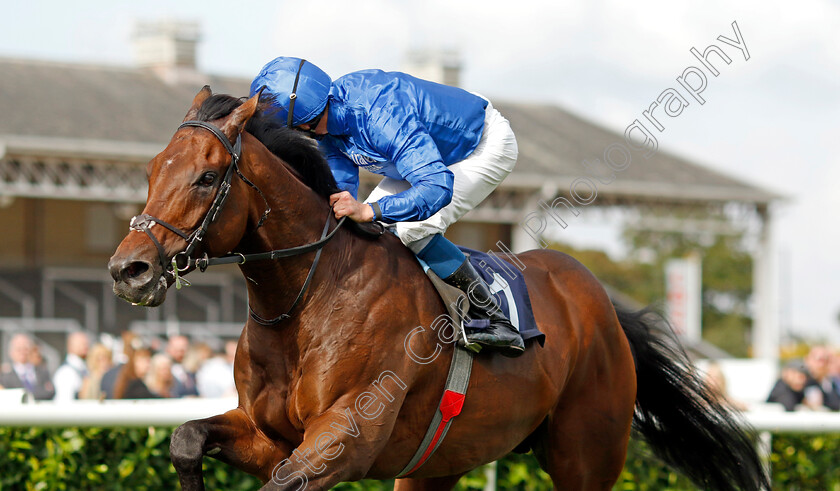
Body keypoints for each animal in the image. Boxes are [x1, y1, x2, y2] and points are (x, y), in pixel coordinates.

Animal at [110, 88, 768, 491]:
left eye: (206, 176)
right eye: (151, 170)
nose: (128, 269)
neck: (306, 300)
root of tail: (601, 303)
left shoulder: (345, 436)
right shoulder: (270, 435)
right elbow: (187, 438)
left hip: (587, 453)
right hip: (442, 459)